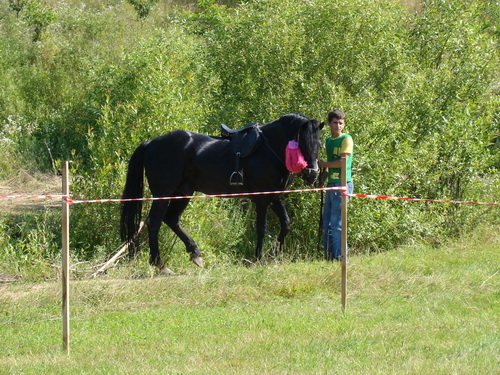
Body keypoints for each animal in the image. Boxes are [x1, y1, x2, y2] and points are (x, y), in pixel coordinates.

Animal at [121, 113, 324, 272]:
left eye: (319, 144)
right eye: (302, 142)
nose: (313, 173)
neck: (268, 149)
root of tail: (151, 143)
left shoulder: (275, 196)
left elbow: (286, 224)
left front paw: (274, 253)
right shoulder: (262, 199)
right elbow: (262, 228)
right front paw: (259, 258)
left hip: (183, 192)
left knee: (171, 219)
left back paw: (195, 253)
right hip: (164, 193)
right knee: (154, 222)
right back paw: (159, 264)